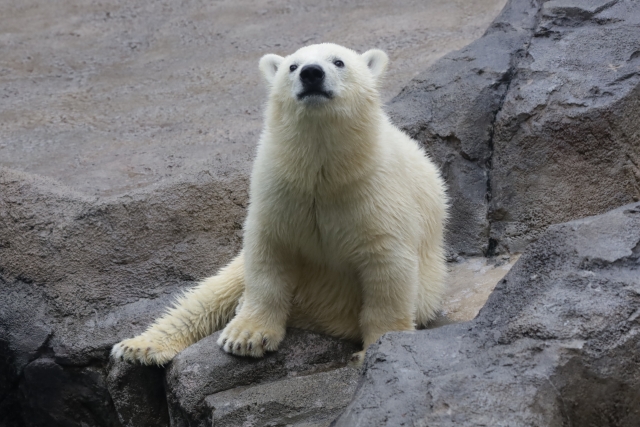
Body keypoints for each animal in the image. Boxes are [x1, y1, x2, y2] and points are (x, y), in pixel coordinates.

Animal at [110, 43, 448, 366]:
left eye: (338, 61)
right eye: (293, 66)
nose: (312, 73)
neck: (324, 170)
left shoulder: (377, 194)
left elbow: (387, 269)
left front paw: (378, 347)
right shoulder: (279, 189)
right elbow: (268, 253)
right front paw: (245, 337)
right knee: (210, 294)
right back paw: (139, 346)